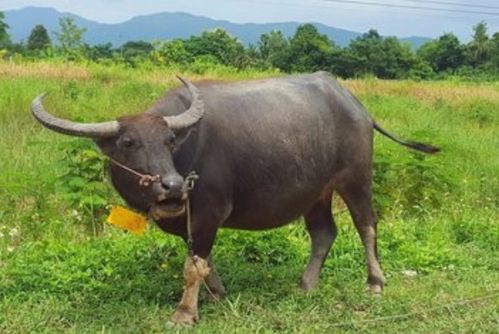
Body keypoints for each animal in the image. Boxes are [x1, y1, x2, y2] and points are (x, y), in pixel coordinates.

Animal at [31, 72, 440, 324]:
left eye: (168, 141)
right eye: (129, 143)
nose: (173, 187)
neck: (187, 152)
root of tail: (356, 105)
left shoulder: (208, 211)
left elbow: (193, 265)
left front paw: (185, 312)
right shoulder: (190, 221)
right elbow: (203, 260)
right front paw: (217, 294)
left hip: (355, 177)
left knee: (366, 225)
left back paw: (375, 282)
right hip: (315, 192)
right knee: (324, 233)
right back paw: (306, 284)